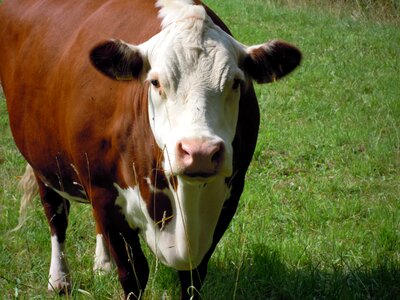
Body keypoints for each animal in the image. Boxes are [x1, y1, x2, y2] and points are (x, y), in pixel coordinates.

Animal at [0, 0, 300, 298]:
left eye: (236, 83)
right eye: (155, 82)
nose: (200, 152)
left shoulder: (230, 195)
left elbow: (193, 276)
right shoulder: (104, 192)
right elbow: (133, 274)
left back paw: (102, 263)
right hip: (42, 158)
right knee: (55, 214)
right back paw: (59, 279)